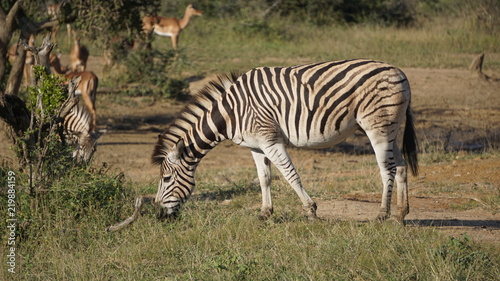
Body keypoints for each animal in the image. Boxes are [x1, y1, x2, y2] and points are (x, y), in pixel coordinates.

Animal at [151, 59, 418, 223]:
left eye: (166, 179)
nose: (158, 214)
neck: (231, 113)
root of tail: (400, 72)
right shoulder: (256, 146)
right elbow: (264, 178)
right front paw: (265, 213)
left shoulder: (270, 140)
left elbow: (291, 175)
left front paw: (311, 211)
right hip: (391, 128)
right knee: (401, 166)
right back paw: (401, 215)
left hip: (377, 127)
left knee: (387, 169)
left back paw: (382, 215)